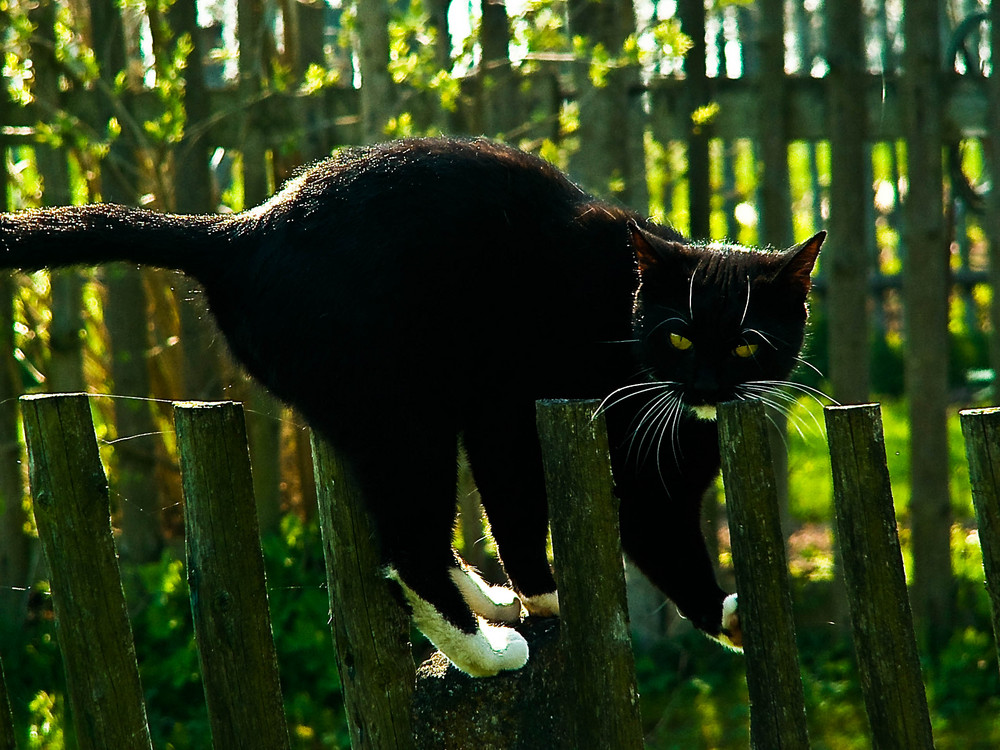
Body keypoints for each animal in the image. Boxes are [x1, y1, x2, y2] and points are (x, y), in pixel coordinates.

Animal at [0, 138, 820, 680]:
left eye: (745, 346)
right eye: (677, 335)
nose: (707, 386)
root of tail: (240, 231)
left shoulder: (658, 483)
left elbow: (669, 543)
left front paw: (730, 614)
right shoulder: (503, 405)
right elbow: (518, 509)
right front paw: (549, 597)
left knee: (412, 531)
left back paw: (485, 601)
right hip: (403, 407)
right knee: (408, 547)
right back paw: (490, 648)